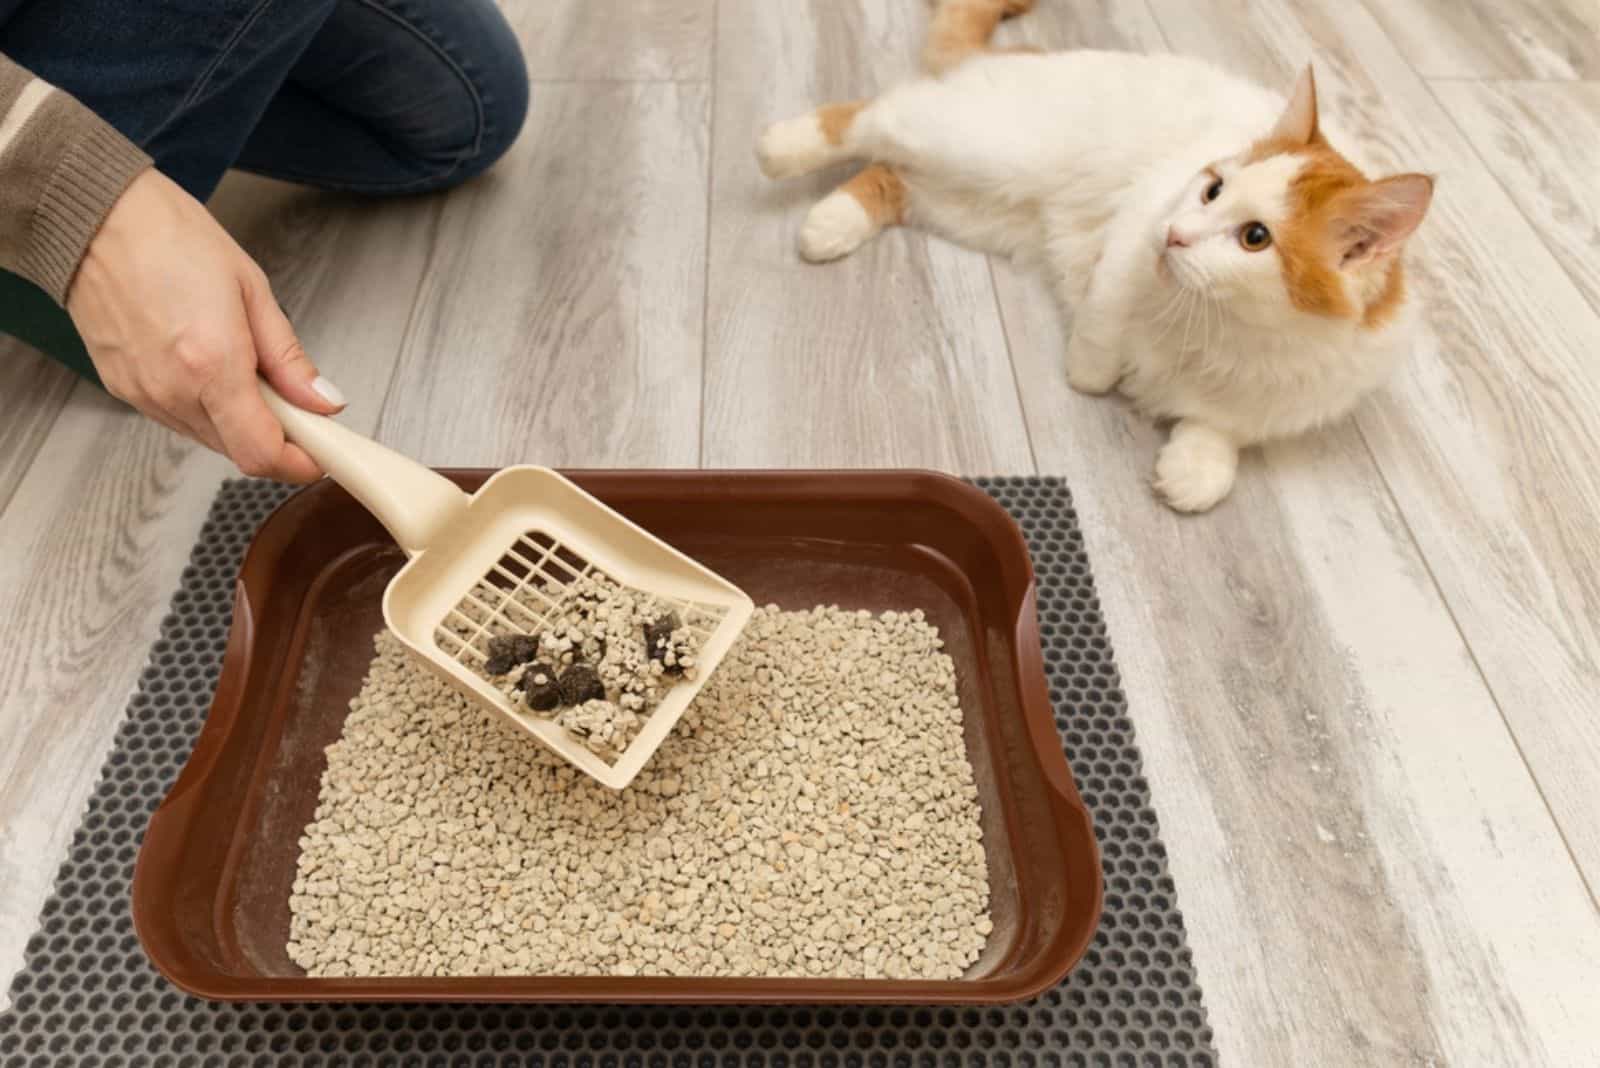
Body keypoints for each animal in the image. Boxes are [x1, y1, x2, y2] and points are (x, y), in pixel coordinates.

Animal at [755, 0, 1433, 511]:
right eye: (1211, 188)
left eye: (1255, 238)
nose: (1177, 235)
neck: (1223, 325)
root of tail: (1024, 57)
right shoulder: (1135, 235)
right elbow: (1104, 331)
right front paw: (1095, 372)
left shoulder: (1297, 393)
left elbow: (1227, 428)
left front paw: (1196, 466)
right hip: (981, 145)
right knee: (871, 118)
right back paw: (783, 146)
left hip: (970, 203)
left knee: (890, 172)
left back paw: (831, 222)